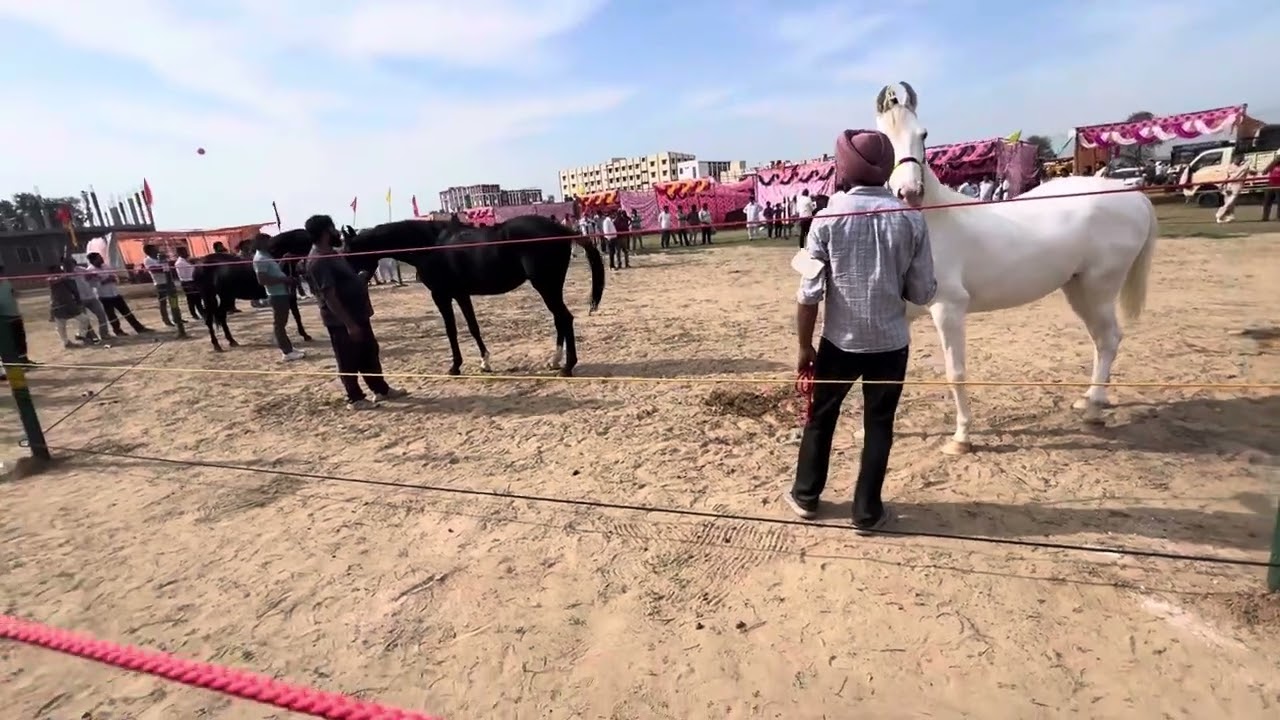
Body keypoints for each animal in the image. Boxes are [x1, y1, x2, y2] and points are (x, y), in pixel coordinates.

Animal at [338, 215, 605, 376]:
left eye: (347, 250)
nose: (350, 281)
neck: (430, 245)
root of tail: (561, 229)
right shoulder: (461, 294)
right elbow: (472, 327)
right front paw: (485, 361)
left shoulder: (441, 295)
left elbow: (452, 330)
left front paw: (455, 366)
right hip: (551, 287)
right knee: (559, 319)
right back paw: (556, 360)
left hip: (546, 286)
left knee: (565, 318)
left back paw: (567, 366)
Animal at [874, 81, 1157, 455]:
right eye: (881, 139)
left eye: (924, 134)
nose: (909, 192)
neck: (933, 223)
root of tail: (1134, 195)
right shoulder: (902, 314)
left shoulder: (948, 309)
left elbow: (956, 372)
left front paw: (961, 438)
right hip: (1078, 289)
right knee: (1101, 340)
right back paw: (1088, 399)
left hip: (1099, 288)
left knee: (1109, 338)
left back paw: (1094, 410)